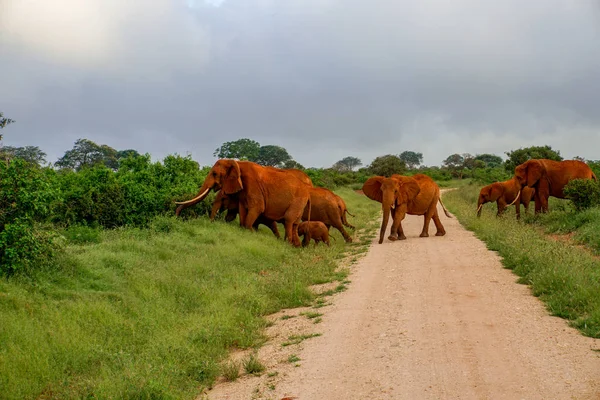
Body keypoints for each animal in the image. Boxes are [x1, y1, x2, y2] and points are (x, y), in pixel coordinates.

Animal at [173, 158, 312, 245]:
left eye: (214, 174)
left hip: (298, 201)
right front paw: (249, 232)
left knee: (288, 220)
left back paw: (287, 244)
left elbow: (257, 208)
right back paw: (295, 246)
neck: (236, 162)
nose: (176, 216)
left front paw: (252, 233)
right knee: (294, 224)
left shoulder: (253, 185)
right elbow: (243, 209)